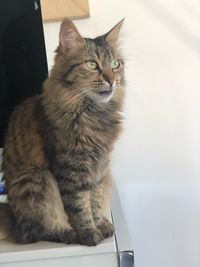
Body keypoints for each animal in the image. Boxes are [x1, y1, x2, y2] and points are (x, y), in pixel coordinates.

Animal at [1, 17, 125, 246]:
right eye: (92, 64)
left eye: (115, 64)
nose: (112, 80)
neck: (93, 114)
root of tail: (15, 222)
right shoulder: (71, 171)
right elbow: (79, 206)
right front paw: (90, 233)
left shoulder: (99, 170)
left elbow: (95, 202)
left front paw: (100, 225)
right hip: (37, 180)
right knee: (41, 231)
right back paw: (69, 233)